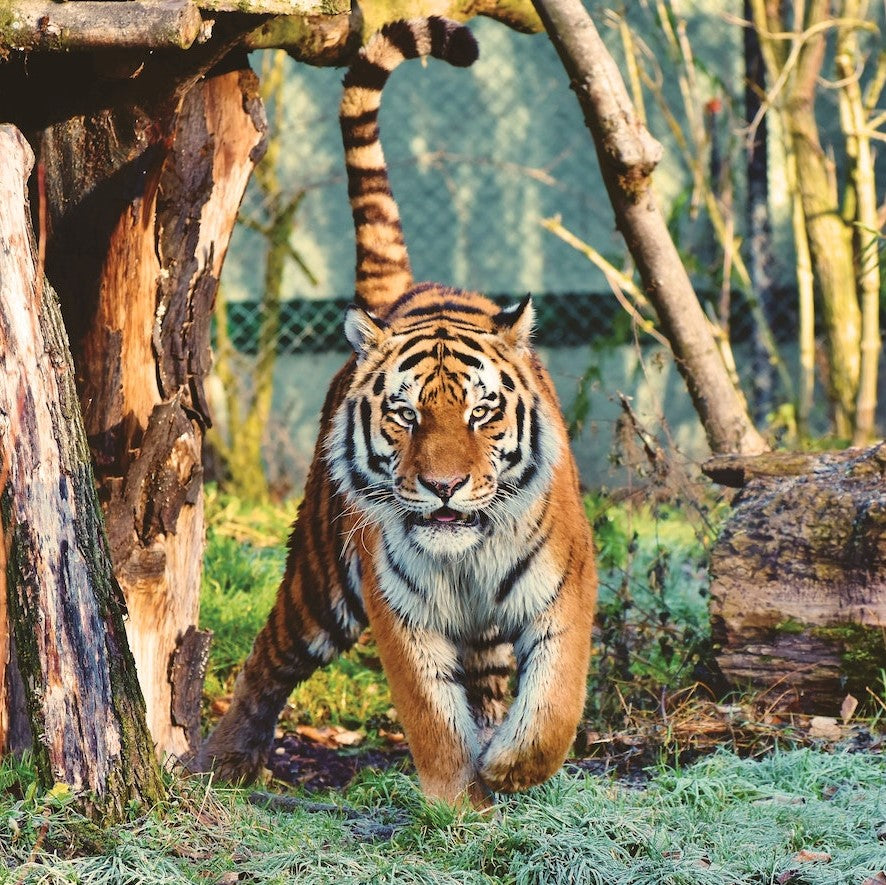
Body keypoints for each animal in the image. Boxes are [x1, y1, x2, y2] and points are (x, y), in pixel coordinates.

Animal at [203, 15, 596, 808]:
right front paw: (455, 800)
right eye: (406, 416)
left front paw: (509, 767)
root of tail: (407, 291)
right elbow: (431, 716)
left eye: (481, 413)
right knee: (267, 656)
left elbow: (554, 705)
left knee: (491, 682)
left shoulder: (565, 589)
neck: (467, 556)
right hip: (320, 580)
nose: (444, 487)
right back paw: (224, 759)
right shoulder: (400, 610)